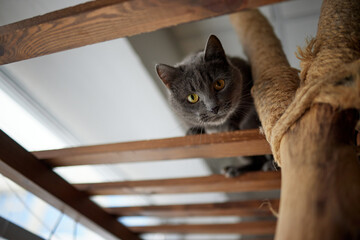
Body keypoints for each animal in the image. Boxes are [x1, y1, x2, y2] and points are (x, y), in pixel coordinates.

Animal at [155, 34, 270, 176]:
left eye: (219, 84)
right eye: (192, 97)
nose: (214, 108)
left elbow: (243, 109)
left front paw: (231, 125)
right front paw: (192, 131)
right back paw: (235, 169)